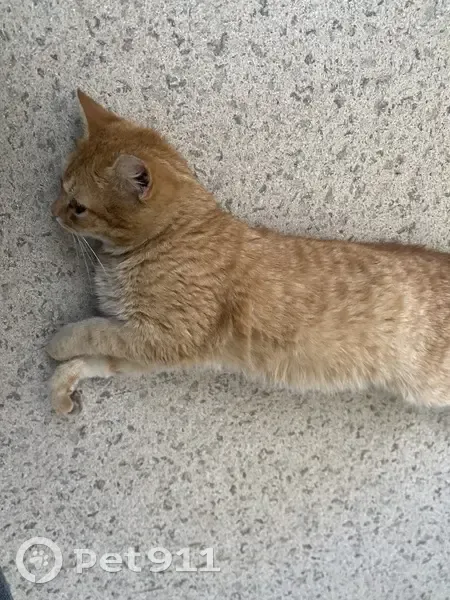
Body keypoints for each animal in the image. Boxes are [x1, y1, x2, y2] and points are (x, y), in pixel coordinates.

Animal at [47, 90, 450, 414]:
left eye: (78, 206)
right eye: (61, 185)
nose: (52, 211)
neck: (171, 236)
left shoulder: (163, 336)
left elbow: (91, 330)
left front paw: (58, 342)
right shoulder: (148, 351)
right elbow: (97, 357)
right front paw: (64, 385)